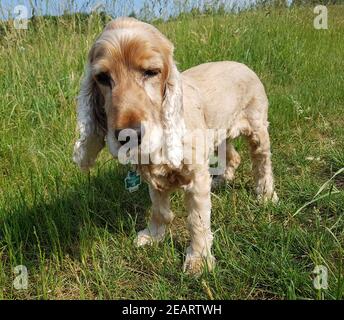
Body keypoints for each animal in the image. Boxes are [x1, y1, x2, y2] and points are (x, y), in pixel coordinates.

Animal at [72, 17, 276, 274]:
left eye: (151, 72)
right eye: (102, 77)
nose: (129, 136)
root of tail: (243, 65)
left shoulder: (196, 176)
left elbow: (197, 220)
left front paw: (199, 260)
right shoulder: (153, 177)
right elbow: (159, 210)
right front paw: (153, 236)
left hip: (257, 128)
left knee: (262, 161)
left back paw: (266, 194)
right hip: (221, 133)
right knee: (233, 155)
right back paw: (222, 179)